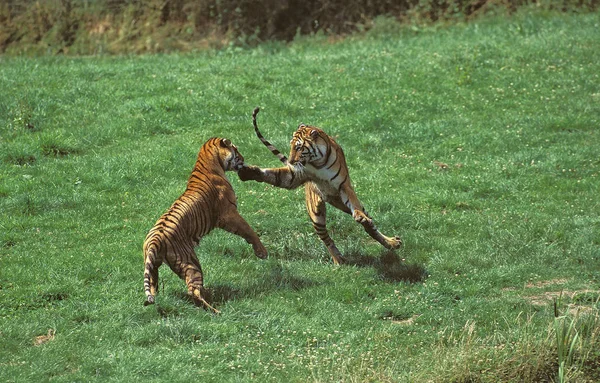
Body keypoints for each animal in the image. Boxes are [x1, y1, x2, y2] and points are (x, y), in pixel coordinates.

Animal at [143, 138, 268, 316]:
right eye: (236, 150)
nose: (244, 159)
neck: (207, 160)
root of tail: (155, 239)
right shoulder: (229, 214)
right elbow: (249, 231)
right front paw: (262, 252)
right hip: (190, 261)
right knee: (193, 290)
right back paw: (215, 310)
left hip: (153, 265)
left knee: (154, 287)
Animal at [237, 106, 400, 266]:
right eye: (291, 146)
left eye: (299, 147)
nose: (290, 161)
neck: (318, 162)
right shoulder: (296, 175)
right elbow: (275, 175)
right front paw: (249, 171)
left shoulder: (343, 186)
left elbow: (356, 207)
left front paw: (360, 216)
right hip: (317, 216)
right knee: (327, 239)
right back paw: (338, 260)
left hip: (343, 204)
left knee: (370, 226)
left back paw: (391, 242)